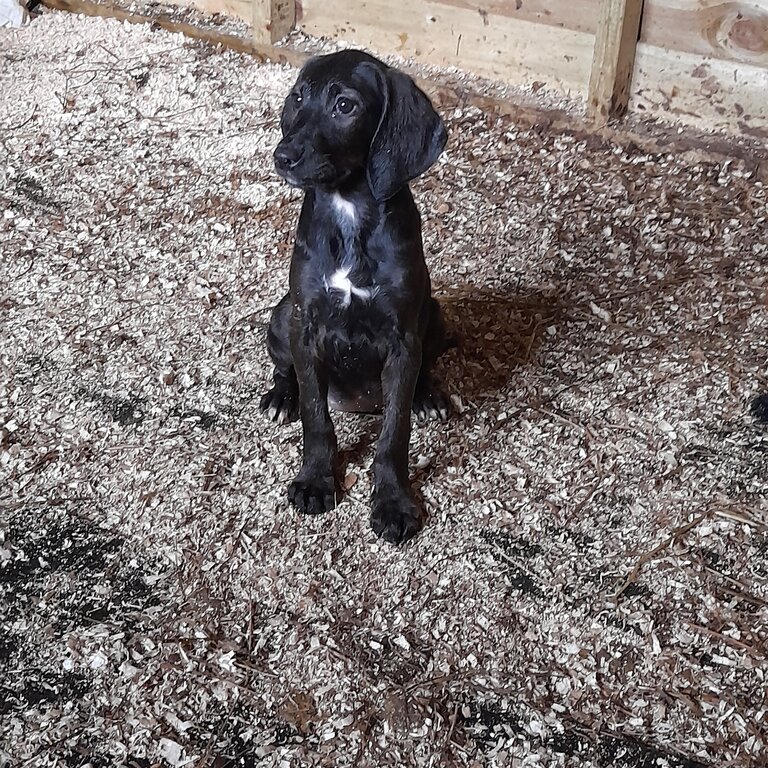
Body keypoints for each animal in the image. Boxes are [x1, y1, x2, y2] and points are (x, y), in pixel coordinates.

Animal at [260, 49, 450, 544]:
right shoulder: (306, 327)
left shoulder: (403, 339)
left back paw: (429, 396)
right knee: (287, 371)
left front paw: (393, 501)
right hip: (281, 315)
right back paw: (280, 396)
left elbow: (394, 433)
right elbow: (315, 417)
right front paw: (314, 481)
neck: (347, 209)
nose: (283, 156)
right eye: (297, 98)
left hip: (436, 314)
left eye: (345, 106)